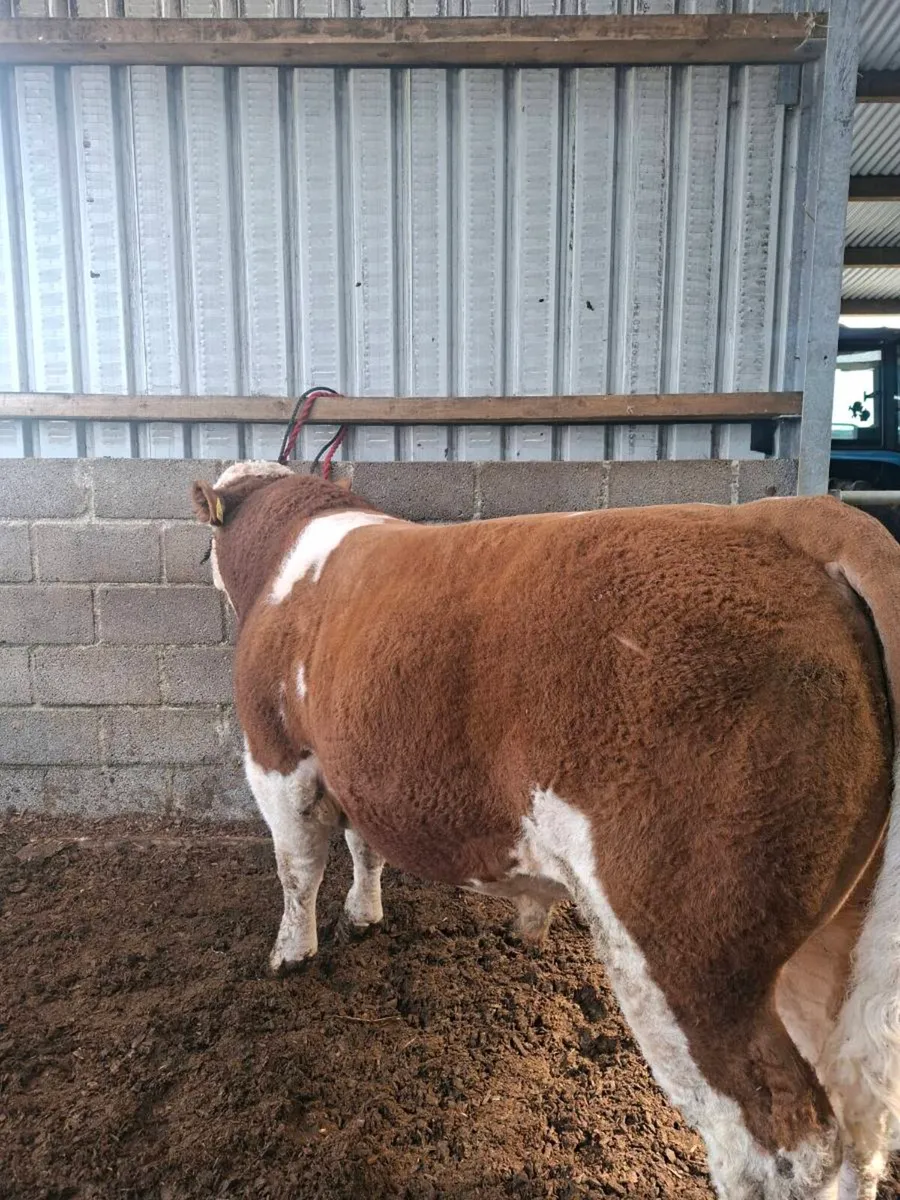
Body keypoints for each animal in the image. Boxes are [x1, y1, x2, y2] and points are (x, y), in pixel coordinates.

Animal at [192, 460, 900, 1200]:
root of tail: (790, 516)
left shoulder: (276, 756)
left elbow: (297, 867)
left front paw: (290, 954)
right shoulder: (353, 766)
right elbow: (364, 847)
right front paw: (364, 914)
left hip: (689, 949)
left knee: (781, 1146)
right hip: (828, 941)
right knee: (857, 1122)